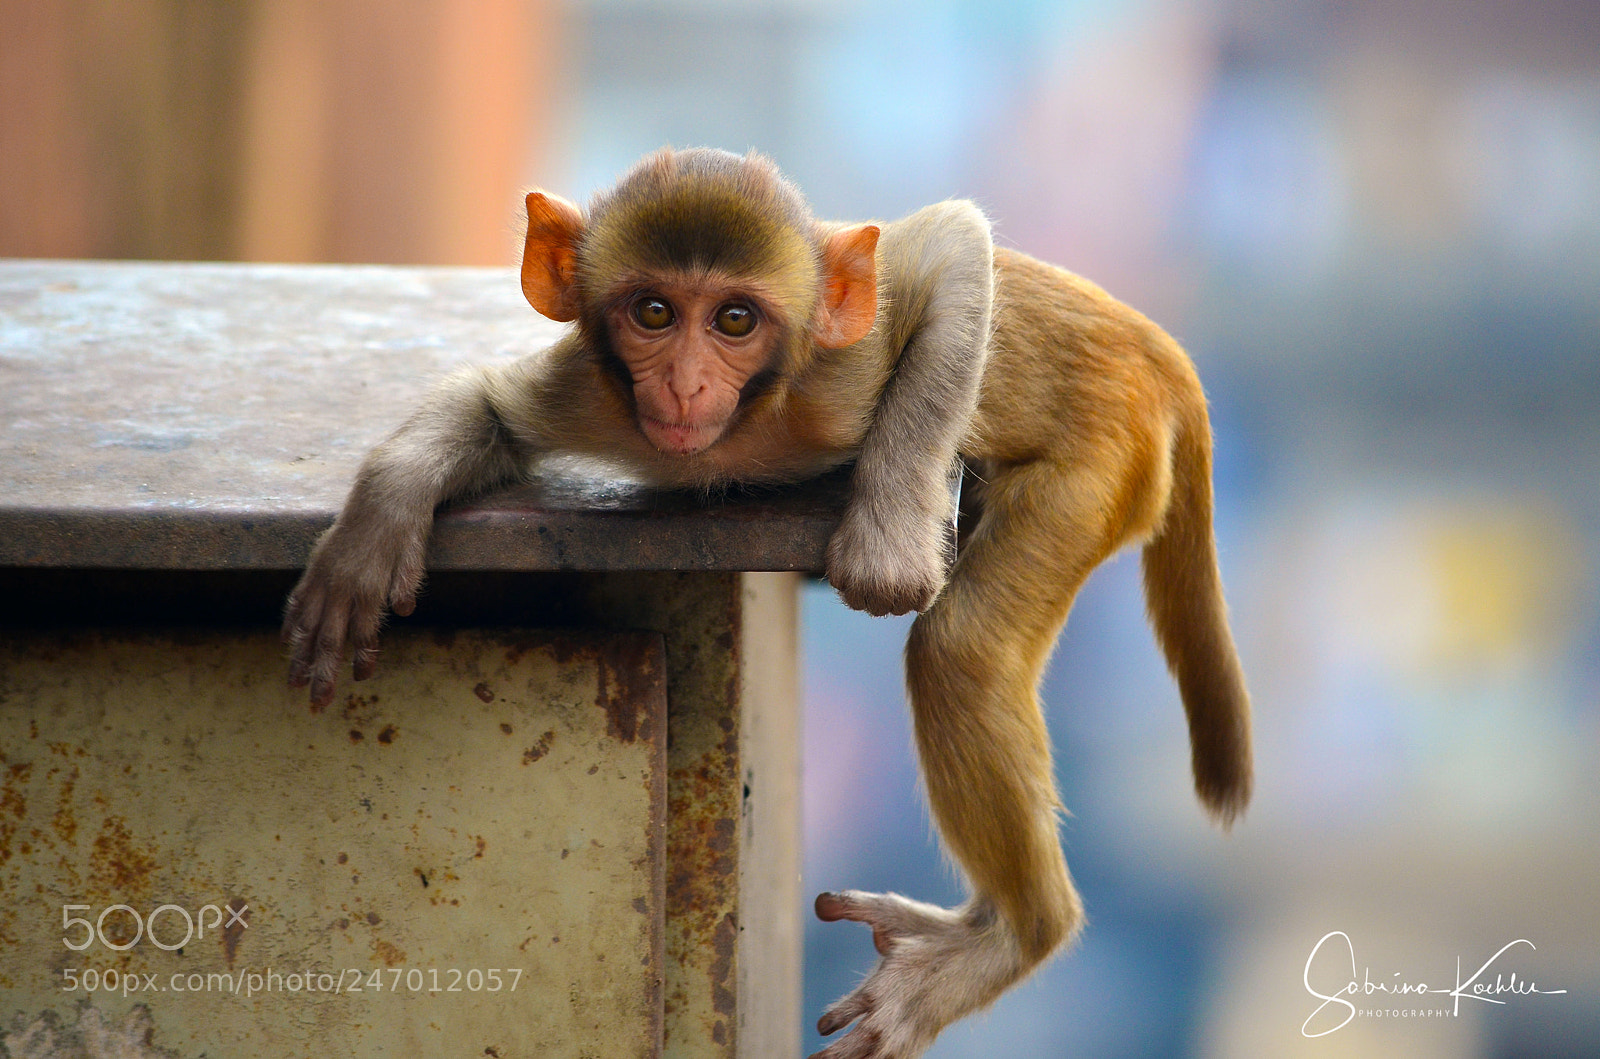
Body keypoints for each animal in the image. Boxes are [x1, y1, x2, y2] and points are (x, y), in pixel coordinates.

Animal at [283, 147, 1252, 1059]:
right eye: (654, 313)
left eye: (735, 320)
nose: (681, 384)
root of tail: (1151, 344)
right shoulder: (593, 395)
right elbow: (491, 406)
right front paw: (373, 530)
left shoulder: (839, 372)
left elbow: (950, 250)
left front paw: (886, 540)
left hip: (1098, 463)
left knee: (963, 647)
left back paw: (1011, 935)